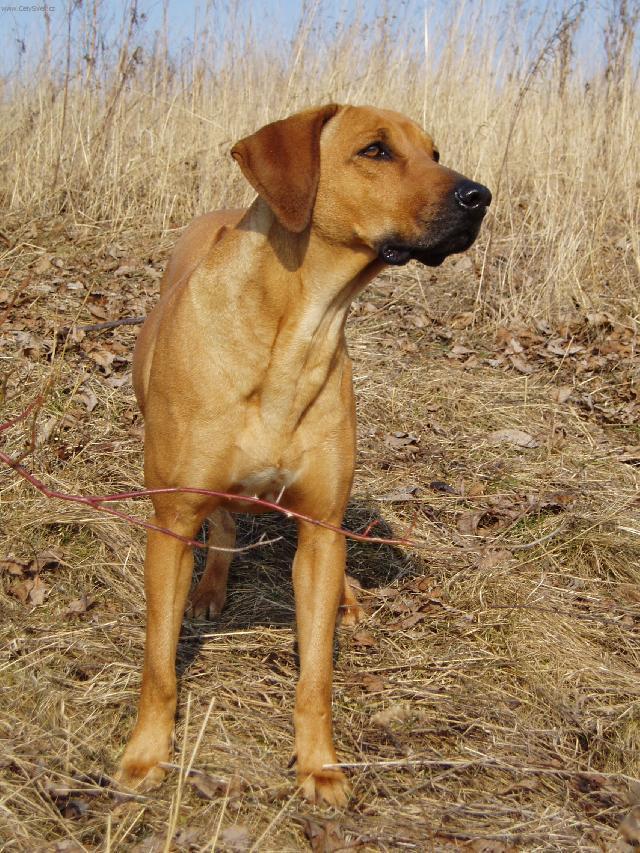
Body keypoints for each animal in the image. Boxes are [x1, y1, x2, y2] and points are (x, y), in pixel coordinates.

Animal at [119, 103, 490, 804]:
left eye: (434, 152)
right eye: (375, 151)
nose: (480, 196)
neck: (297, 328)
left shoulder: (320, 524)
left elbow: (316, 674)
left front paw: (319, 765)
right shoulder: (171, 522)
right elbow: (158, 661)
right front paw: (146, 754)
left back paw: (347, 600)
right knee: (225, 524)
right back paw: (211, 587)